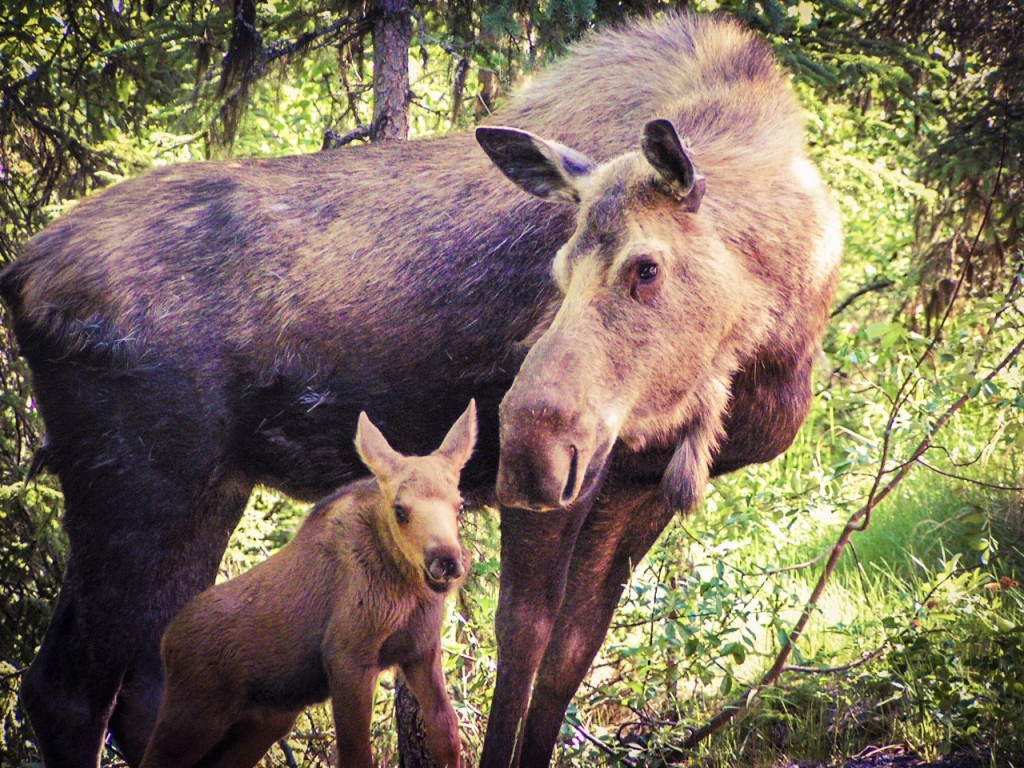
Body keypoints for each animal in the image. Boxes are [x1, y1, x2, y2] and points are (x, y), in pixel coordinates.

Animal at [138, 403, 477, 768]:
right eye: (400, 510)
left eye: (460, 504)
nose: (446, 561)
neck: (407, 590)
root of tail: (167, 642)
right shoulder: (348, 657)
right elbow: (356, 754)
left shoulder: (421, 652)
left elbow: (447, 732)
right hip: (194, 715)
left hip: (262, 723)